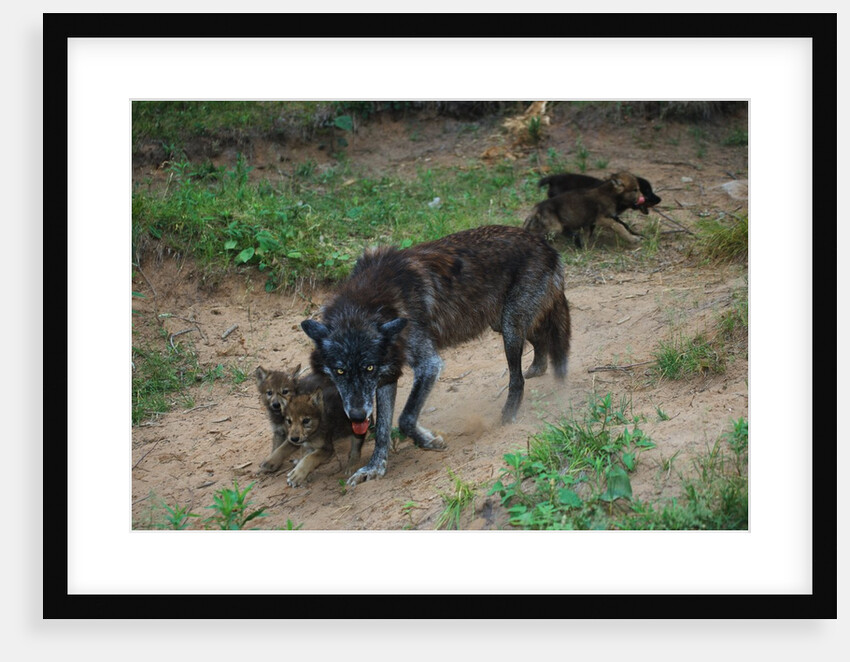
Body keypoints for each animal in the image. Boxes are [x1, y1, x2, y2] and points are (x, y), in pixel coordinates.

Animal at [301, 224, 571, 486]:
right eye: (340, 371)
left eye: (368, 368)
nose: (357, 416)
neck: (371, 303)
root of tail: (544, 244)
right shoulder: (387, 377)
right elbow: (383, 431)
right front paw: (375, 468)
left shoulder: (428, 364)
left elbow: (405, 418)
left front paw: (430, 441)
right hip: (502, 323)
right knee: (540, 339)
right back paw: (538, 368)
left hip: (509, 327)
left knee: (518, 378)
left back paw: (509, 414)